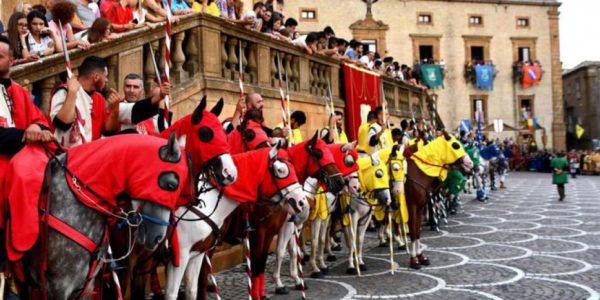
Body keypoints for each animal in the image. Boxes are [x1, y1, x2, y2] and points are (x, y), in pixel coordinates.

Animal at [404, 132, 474, 268]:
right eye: (456, 145)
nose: (470, 164)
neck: (418, 172)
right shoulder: (411, 207)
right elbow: (413, 231)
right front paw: (414, 259)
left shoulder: (420, 207)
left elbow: (417, 231)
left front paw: (421, 257)